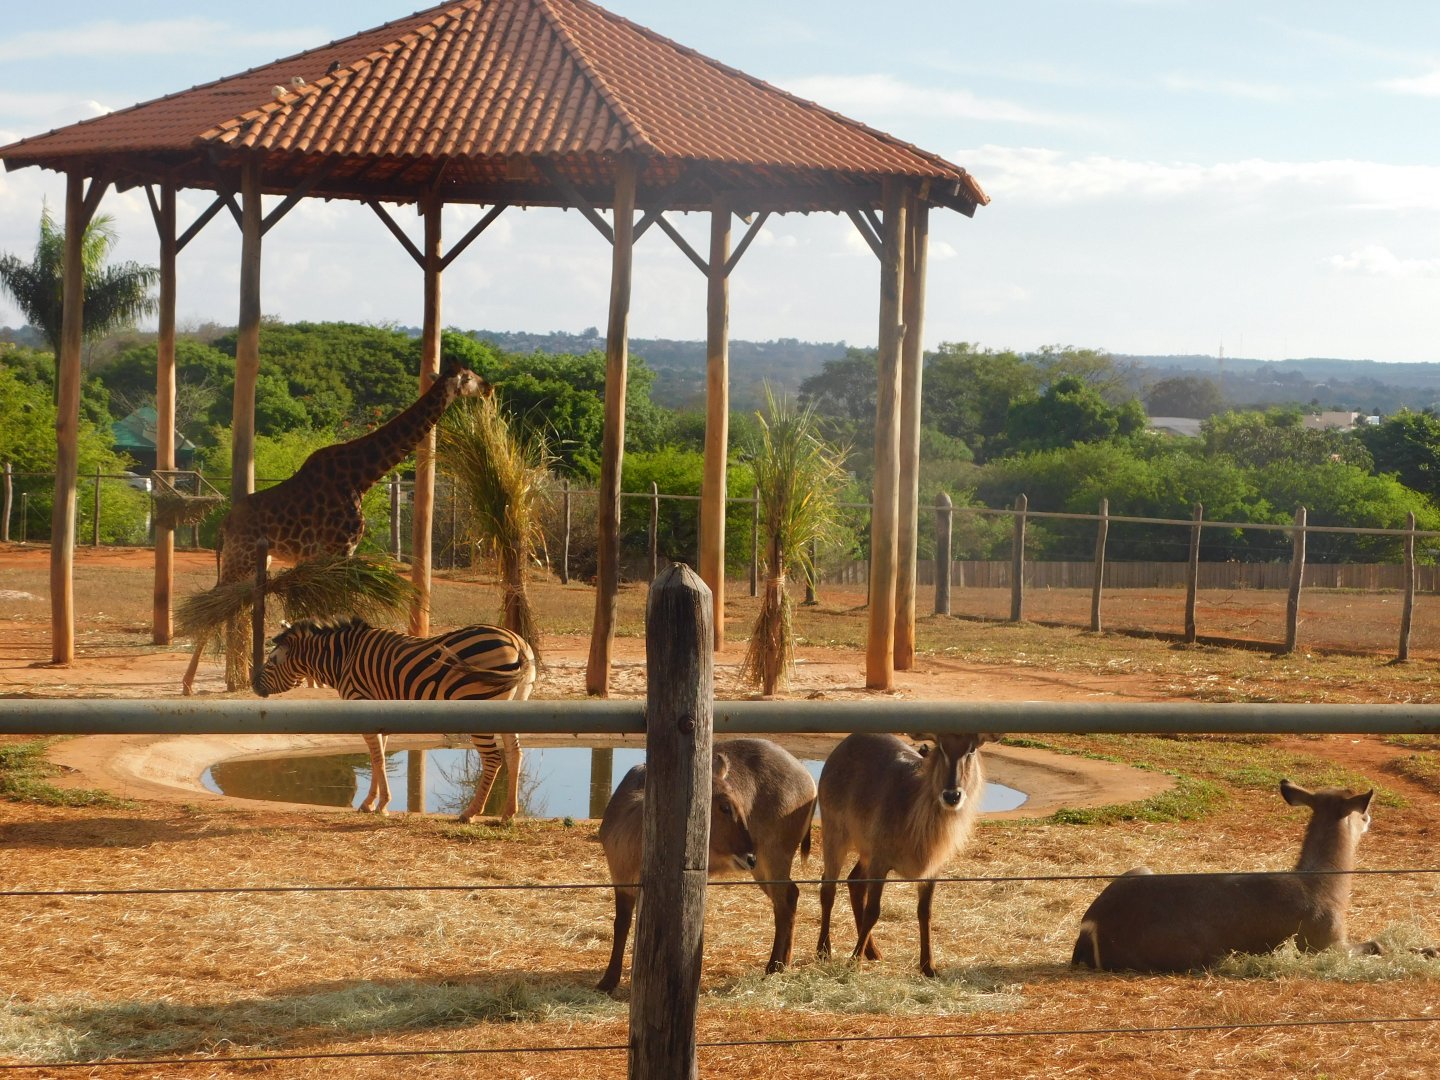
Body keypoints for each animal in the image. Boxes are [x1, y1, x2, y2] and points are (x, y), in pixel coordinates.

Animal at [181, 362, 491, 694]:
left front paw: (312, 676)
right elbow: (337, 605)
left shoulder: (325, 556)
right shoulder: (341, 549)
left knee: (238, 605)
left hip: (255, 561)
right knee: (213, 606)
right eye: (469, 378)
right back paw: (188, 682)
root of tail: (224, 524)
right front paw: (320, 675)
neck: (362, 476)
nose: (489, 388)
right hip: (240, 558)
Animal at [256, 617, 536, 822]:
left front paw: (377, 805)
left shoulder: (363, 704)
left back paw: (470, 813)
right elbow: (378, 756)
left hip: (478, 704)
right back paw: (508, 814)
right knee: (515, 753)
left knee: (493, 759)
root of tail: (517, 642)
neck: (343, 658)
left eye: (271, 662)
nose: (254, 686)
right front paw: (375, 803)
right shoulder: (382, 713)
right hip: (513, 706)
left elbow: (377, 758)